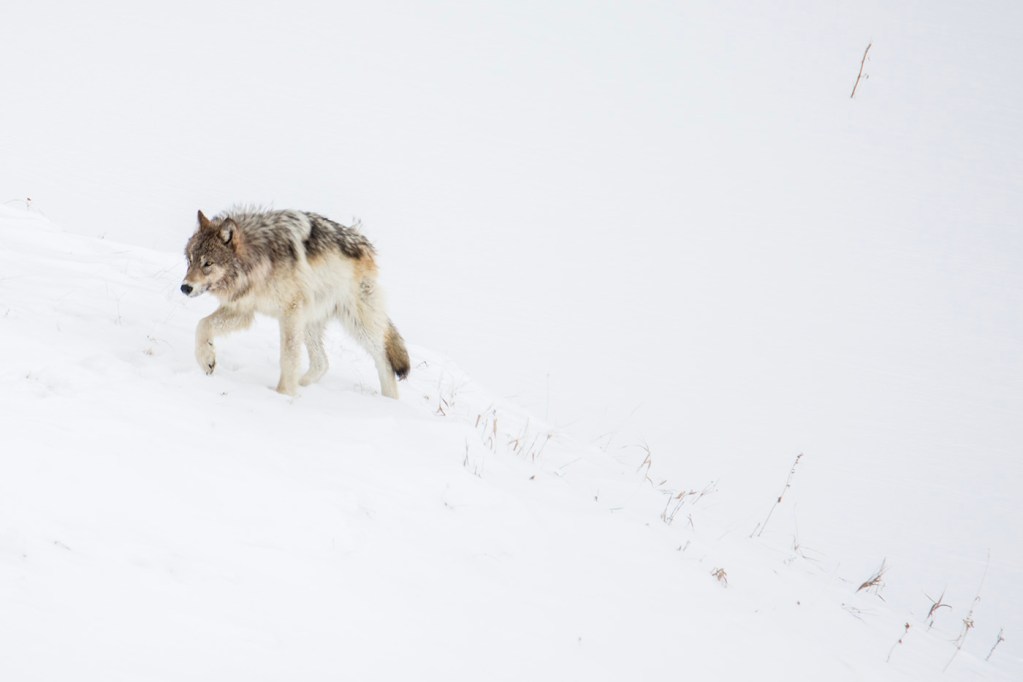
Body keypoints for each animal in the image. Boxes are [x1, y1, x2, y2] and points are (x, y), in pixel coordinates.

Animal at [180, 208, 410, 398]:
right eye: (190, 260)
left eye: (208, 264)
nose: (184, 287)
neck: (259, 260)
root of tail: (365, 243)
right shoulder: (243, 310)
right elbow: (202, 325)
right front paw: (206, 360)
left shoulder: (289, 312)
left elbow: (288, 357)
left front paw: (283, 395)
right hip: (308, 323)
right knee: (322, 363)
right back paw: (302, 385)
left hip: (356, 323)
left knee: (384, 359)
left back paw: (390, 402)